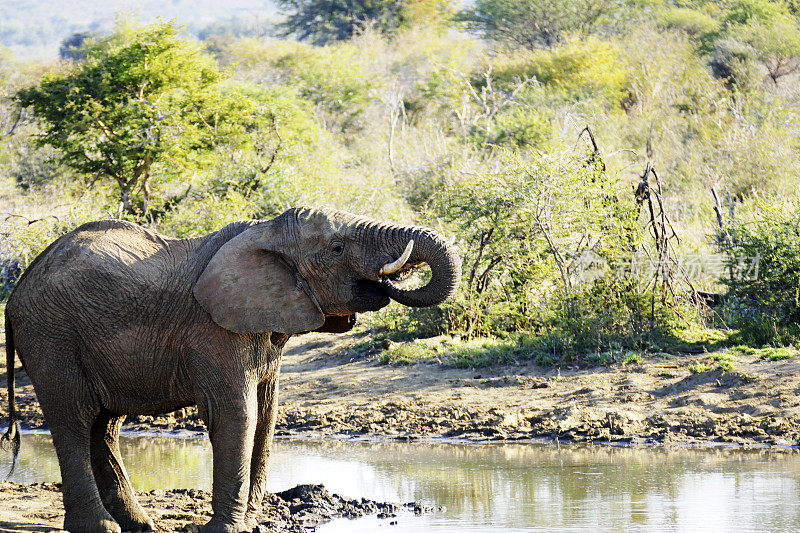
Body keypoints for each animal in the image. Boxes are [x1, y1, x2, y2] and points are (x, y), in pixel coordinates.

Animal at [0, 206, 460, 532]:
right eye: (337, 249)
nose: (388, 279)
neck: (265, 229)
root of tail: (19, 284)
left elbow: (267, 415)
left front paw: (251, 522)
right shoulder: (214, 329)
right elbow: (236, 414)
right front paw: (223, 530)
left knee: (105, 425)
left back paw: (141, 526)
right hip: (50, 334)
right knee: (74, 418)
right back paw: (101, 529)